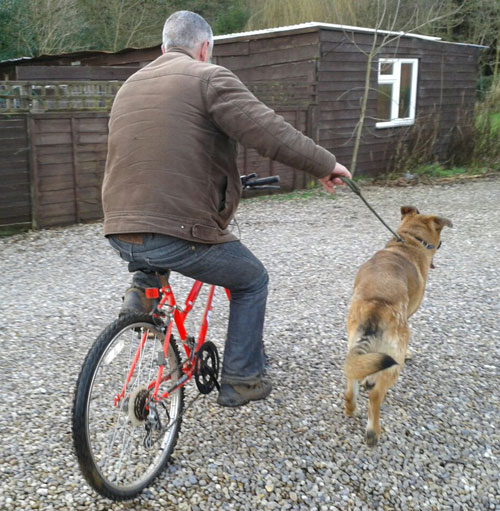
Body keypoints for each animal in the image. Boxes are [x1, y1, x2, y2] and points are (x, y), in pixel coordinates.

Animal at [344, 206, 454, 446]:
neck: (409, 239)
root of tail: (376, 306)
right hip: (394, 359)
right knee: (376, 395)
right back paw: (373, 432)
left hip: (354, 346)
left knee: (350, 380)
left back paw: (351, 408)